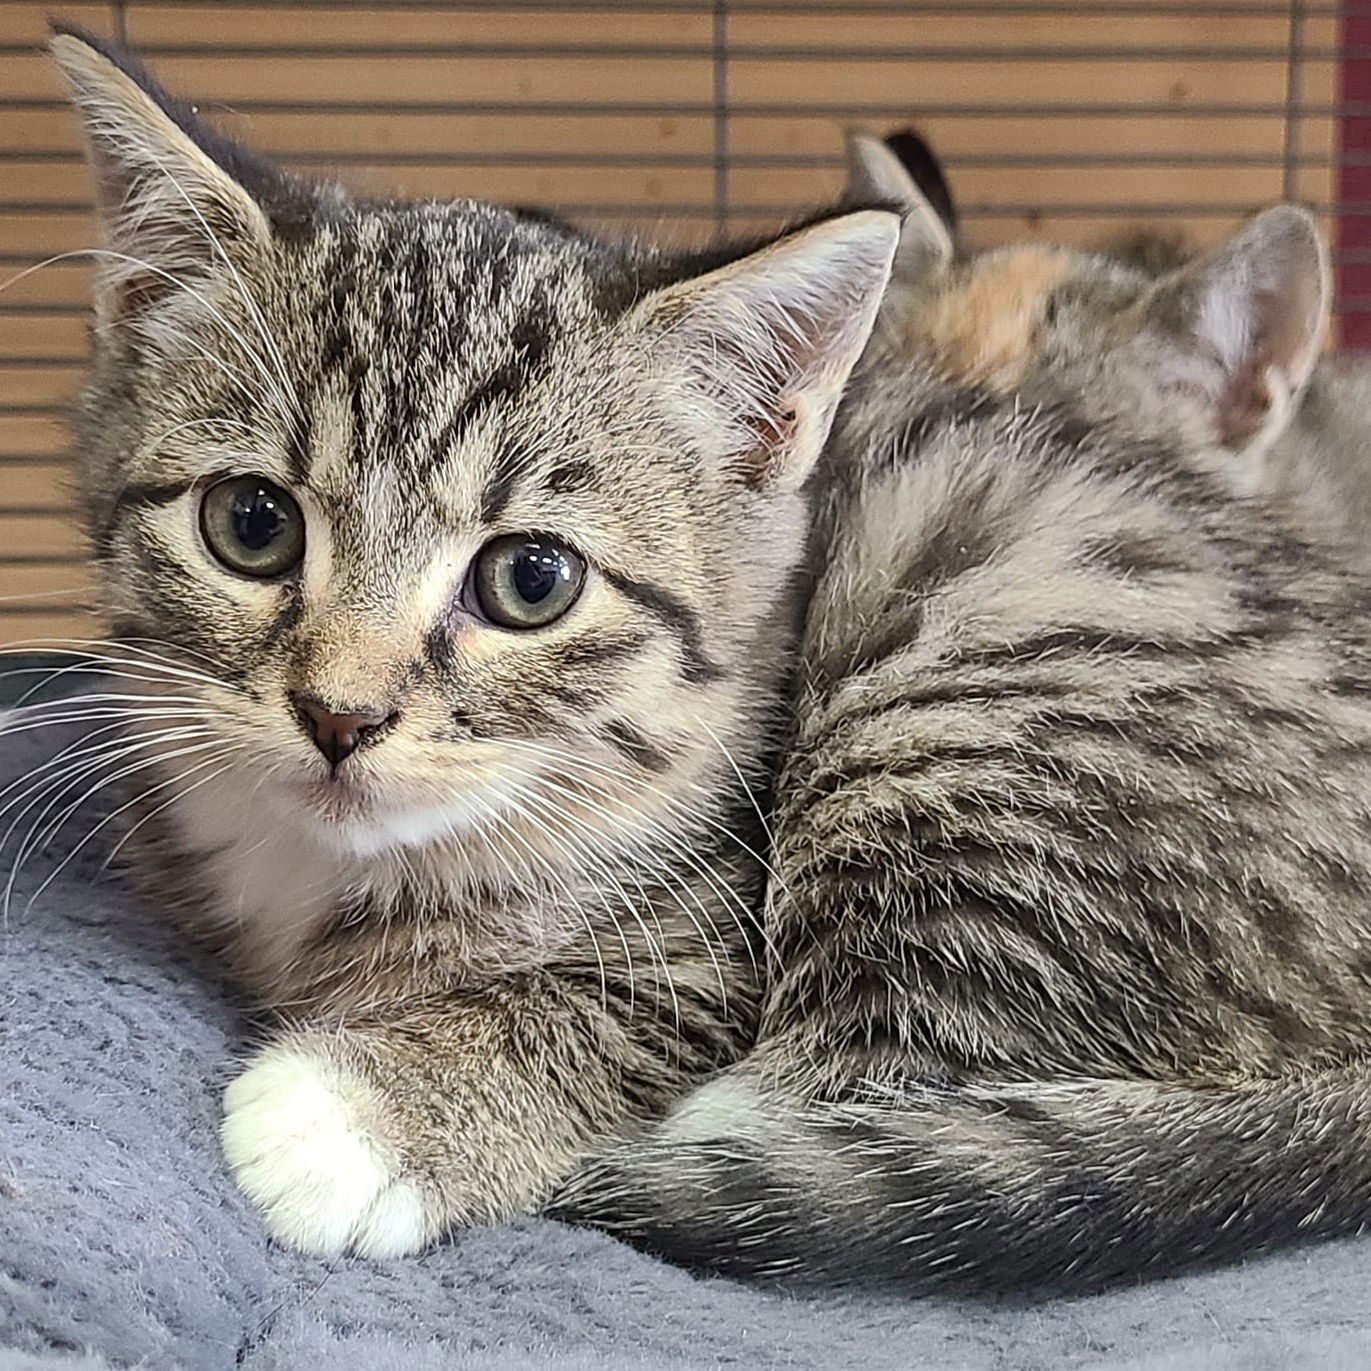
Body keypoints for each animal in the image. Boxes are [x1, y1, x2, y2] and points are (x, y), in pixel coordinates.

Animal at [48, 26, 899, 1255]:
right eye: (251, 523)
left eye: (529, 580)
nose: (339, 716)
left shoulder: (728, 939)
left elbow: (625, 1012)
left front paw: (349, 1118)